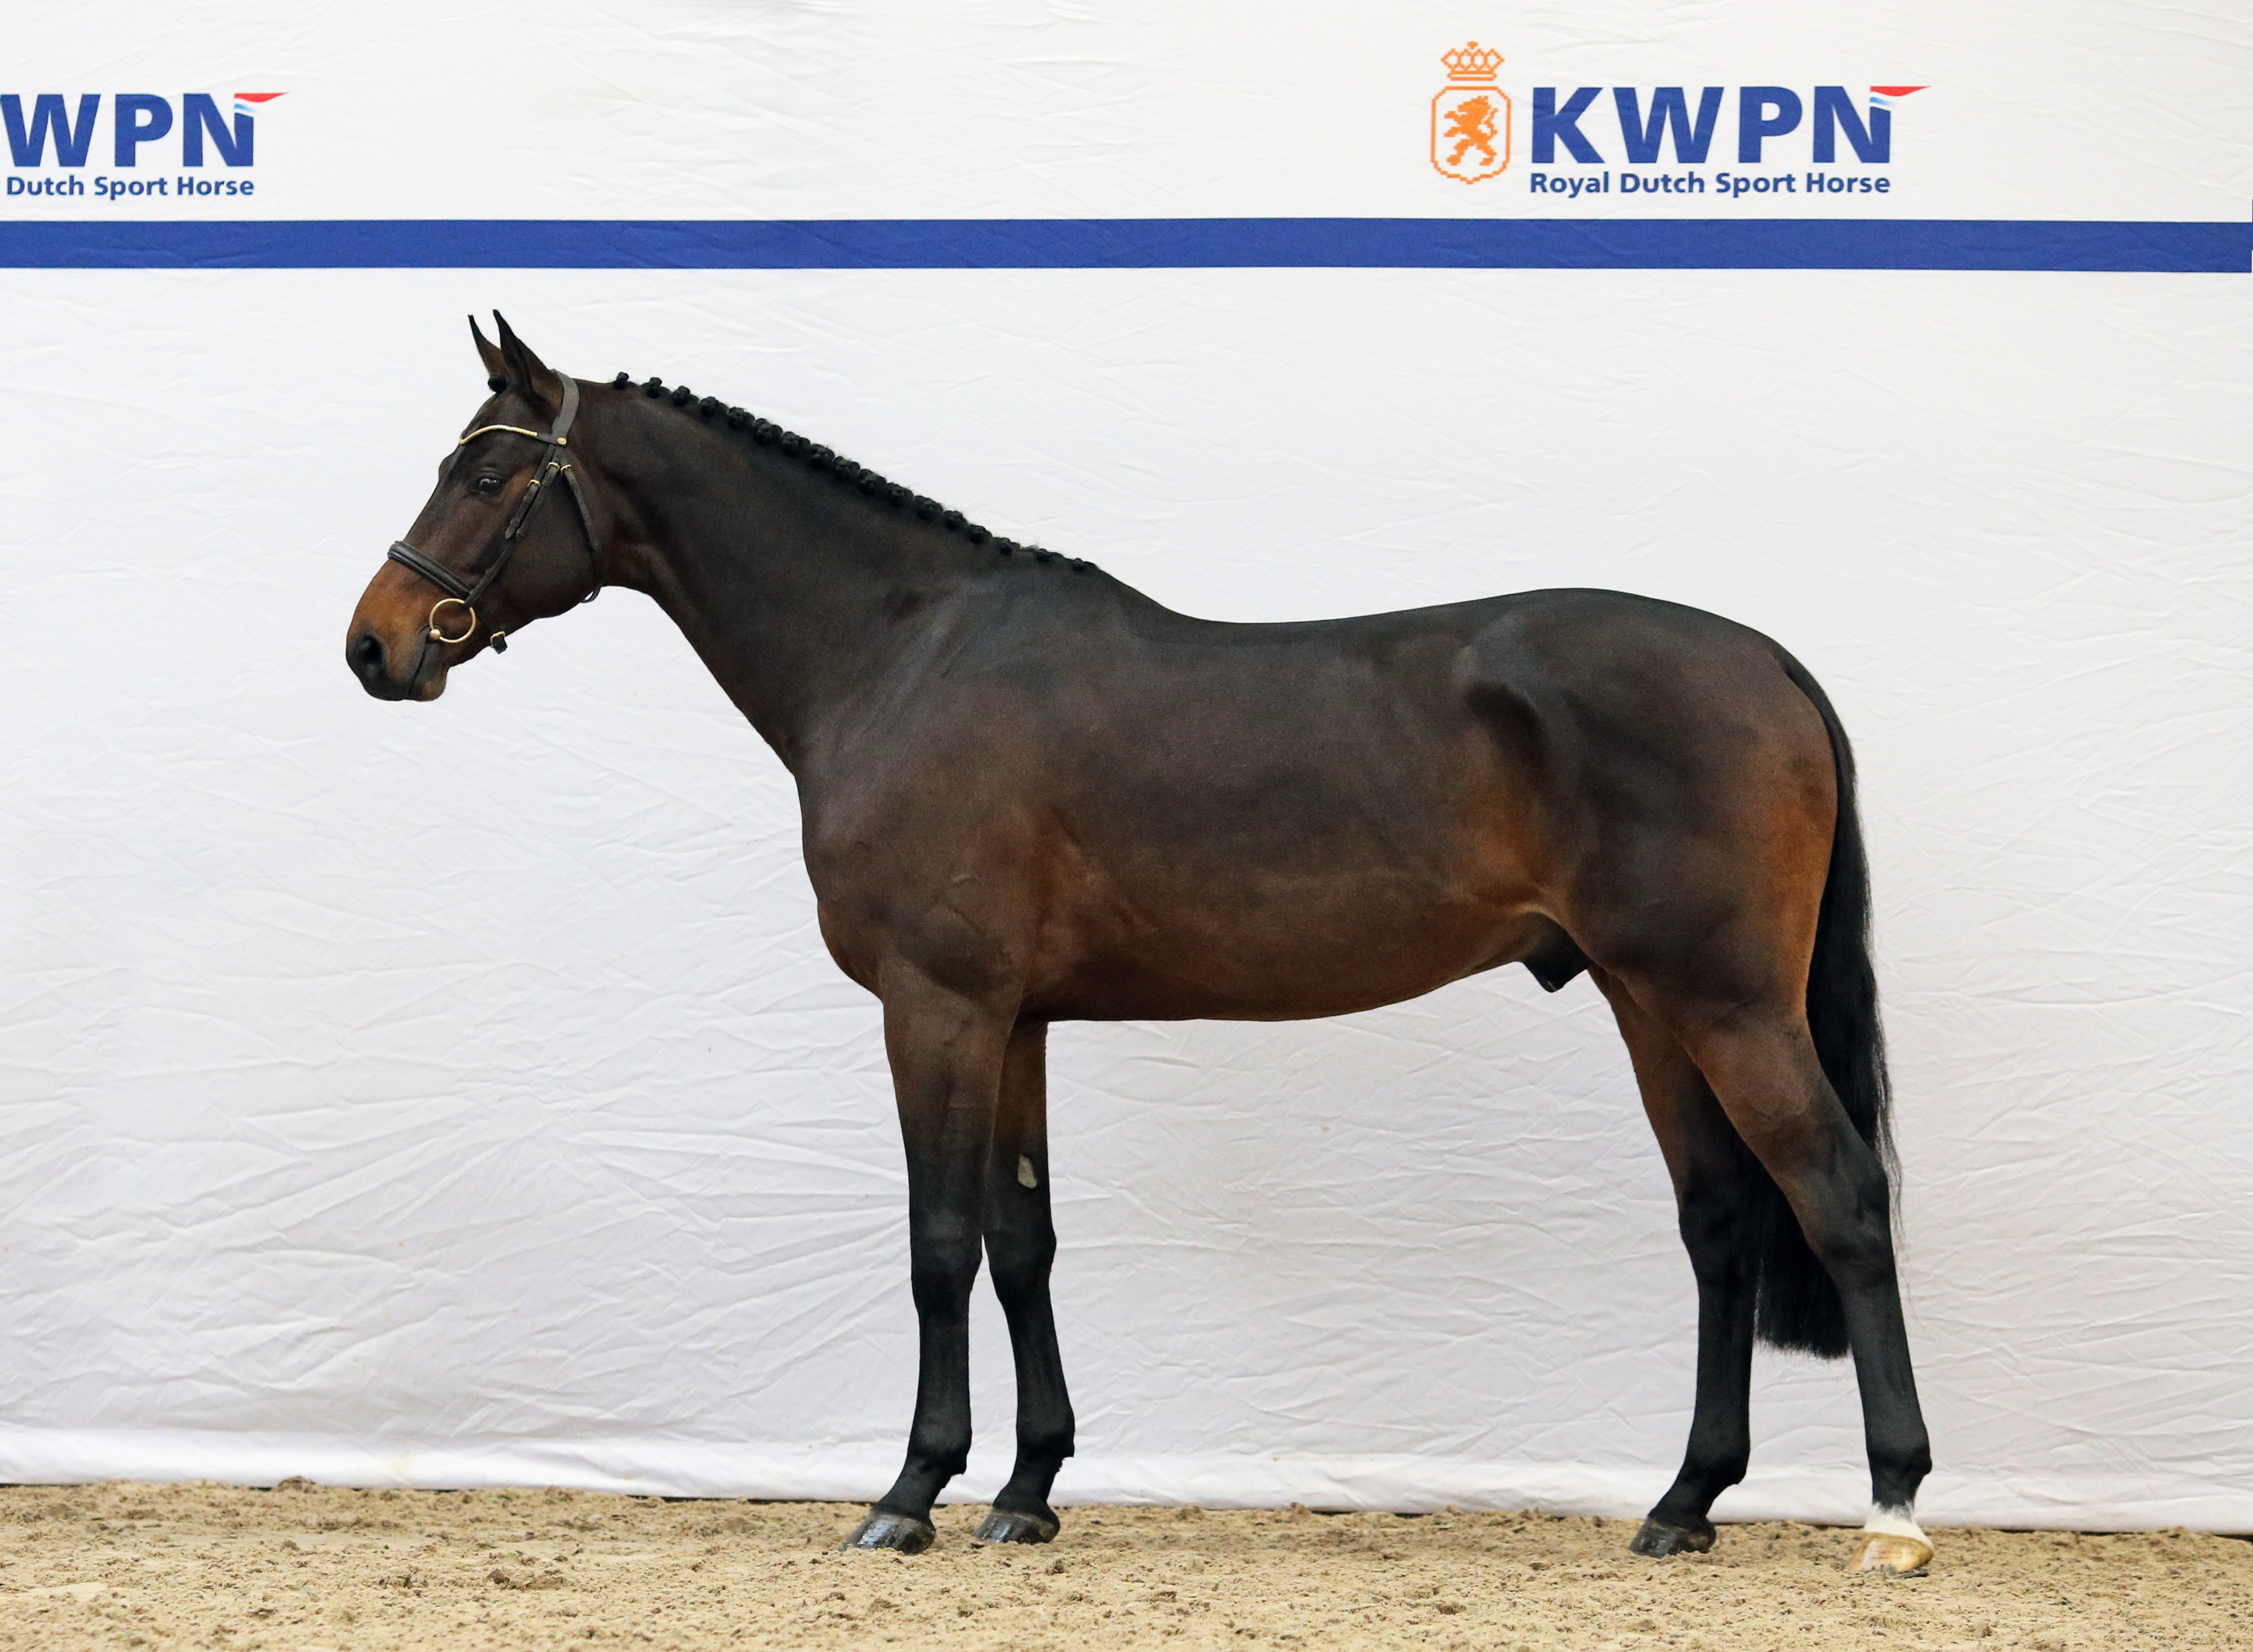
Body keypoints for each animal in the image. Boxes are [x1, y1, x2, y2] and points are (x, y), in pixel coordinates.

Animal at [346, 315, 1934, 1574]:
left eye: (484, 471)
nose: (375, 644)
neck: (899, 657)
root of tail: (1768, 663)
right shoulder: (1017, 1019)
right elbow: (1022, 1241)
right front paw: (1027, 1490)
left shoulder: (935, 1006)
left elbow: (937, 1244)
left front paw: (910, 1493)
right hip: (1647, 1001)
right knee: (1720, 1220)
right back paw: (1681, 1504)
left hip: (1725, 1002)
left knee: (1839, 1196)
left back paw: (1894, 1509)